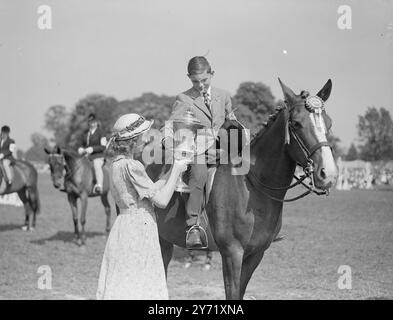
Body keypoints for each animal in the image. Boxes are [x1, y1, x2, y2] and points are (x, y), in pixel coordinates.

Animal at [145, 78, 338, 300]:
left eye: (329, 123)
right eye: (296, 123)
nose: (328, 174)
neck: (252, 189)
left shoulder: (255, 254)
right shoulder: (232, 253)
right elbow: (232, 292)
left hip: (164, 240)